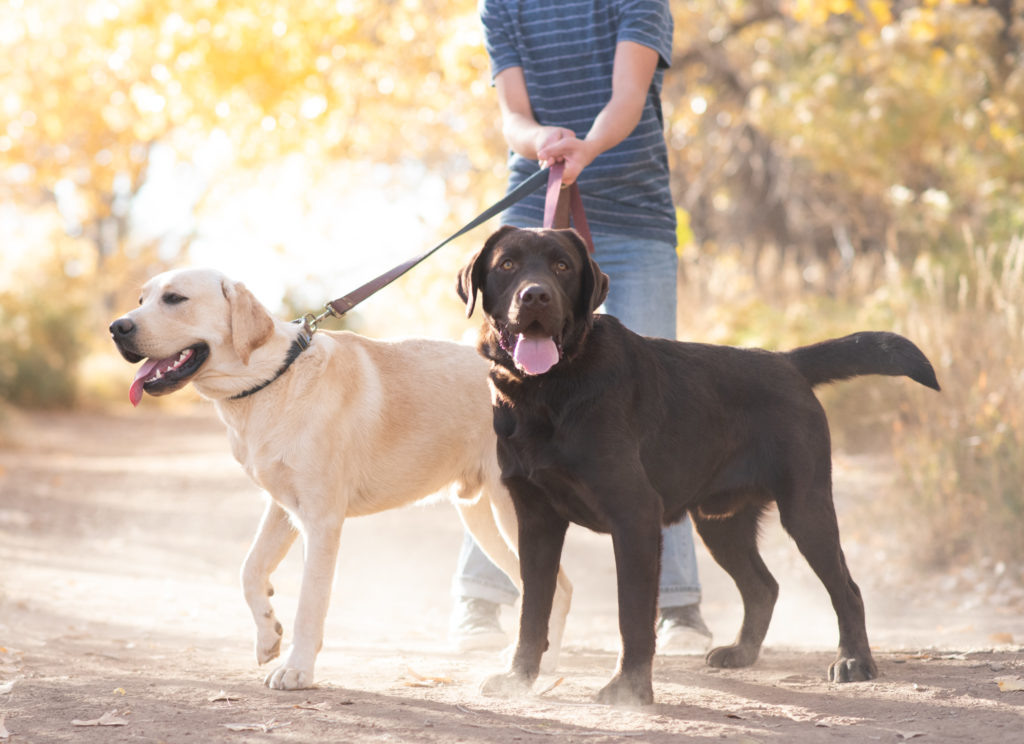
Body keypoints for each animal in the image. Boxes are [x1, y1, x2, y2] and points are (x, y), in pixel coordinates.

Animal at [113, 270, 577, 691]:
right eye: (141, 298)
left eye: (175, 298)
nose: (117, 328)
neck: (270, 378)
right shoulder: (283, 507)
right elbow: (250, 570)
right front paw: (267, 634)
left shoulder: (321, 522)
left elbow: (309, 603)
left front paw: (297, 669)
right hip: (483, 518)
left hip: (510, 514)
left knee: (558, 586)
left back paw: (539, 666)